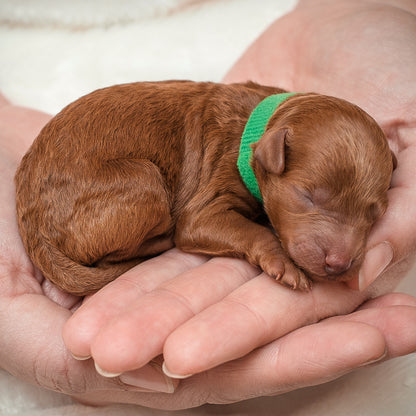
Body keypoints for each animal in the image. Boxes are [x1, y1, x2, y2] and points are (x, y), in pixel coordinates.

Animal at [13, 80, 396, 296]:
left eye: (374, 213)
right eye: (307, 196)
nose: (339, 264)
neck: (256, 130)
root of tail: (29, 222)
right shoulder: (204, 207)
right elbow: (249, 231)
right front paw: (283, 265)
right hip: (143, 182)